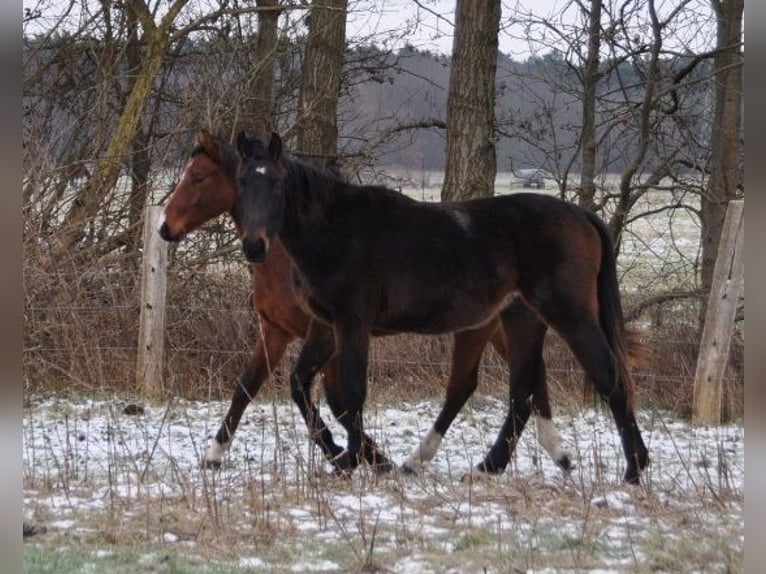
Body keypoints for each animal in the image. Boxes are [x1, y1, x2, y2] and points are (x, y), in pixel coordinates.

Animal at [159, 132, 572, 476]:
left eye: (198, 177)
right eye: (241, 183)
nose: (165, 227)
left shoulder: (336, 331)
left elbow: (336, 398)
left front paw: (357, 455)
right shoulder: (279, 331)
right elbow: (250, 387)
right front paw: (214, 454)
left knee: (519, 383)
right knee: (522, 382)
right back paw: (551, 454)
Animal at [237, 130, 652, 486]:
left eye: (275, 184)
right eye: (242, 184)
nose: (254, 246)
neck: (337, 229)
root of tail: (582, 216)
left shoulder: (351, 323)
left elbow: (352, 395)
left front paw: (353, 460)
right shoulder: (325, 326)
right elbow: (301, 385)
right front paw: (342, 456)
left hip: (571, 315)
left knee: (609, 378)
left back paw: (634, 470)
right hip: (522, 319)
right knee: (521, 392)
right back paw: (487, 467)